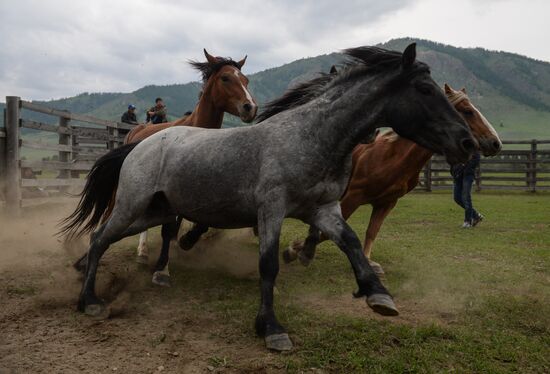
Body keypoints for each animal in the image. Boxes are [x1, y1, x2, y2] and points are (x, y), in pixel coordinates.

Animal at [71, 49, 258, 286]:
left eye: (246, 80)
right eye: (225, 78)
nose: (250, 107)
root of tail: (136, 130)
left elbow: (193, 224)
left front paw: (182, 244)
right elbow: (168, 229)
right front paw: (162, 270)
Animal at [284, 83, 504, 274]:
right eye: (467, 111)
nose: (495, 143)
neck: (393, 157)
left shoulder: (387, 202)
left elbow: (371, 231)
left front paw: (368, 262)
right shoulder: (352, 197)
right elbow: (327, 232)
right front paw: (296, 250)